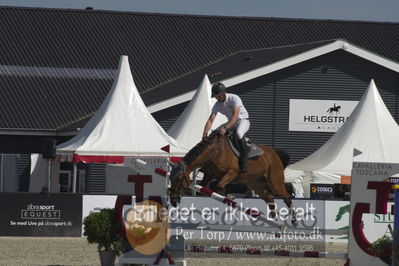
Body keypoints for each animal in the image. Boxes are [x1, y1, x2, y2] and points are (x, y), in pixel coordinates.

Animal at [167, 131, 298, 227]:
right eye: (170, 179)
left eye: (179, 179)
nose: (173, 201)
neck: (215, 151)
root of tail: (275, 154)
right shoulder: (209, 175)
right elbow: (204, 187)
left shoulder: (232, 172)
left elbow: (219, 186)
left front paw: (230, 196)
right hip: (256, 185)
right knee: (270, 199)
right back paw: (274, 220)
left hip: (275, 182)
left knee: (286, 197)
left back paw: (294, 221)